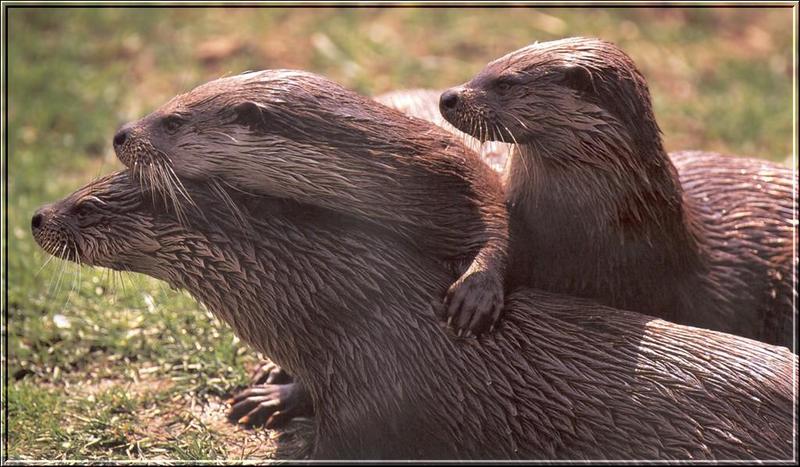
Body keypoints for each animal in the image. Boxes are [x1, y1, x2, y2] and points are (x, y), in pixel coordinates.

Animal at [112, 70, 510, 336]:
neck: (398, 168)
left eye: (173, 121)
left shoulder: (462, 177)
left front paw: (474, 294)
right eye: (166, 104)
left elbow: (498, 224)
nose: (120, 134)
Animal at [440, 38, 796, 350]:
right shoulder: (519, 215)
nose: (447, 96)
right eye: (484, 67)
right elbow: (499, 240)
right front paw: (476, 293)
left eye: (505, 84)